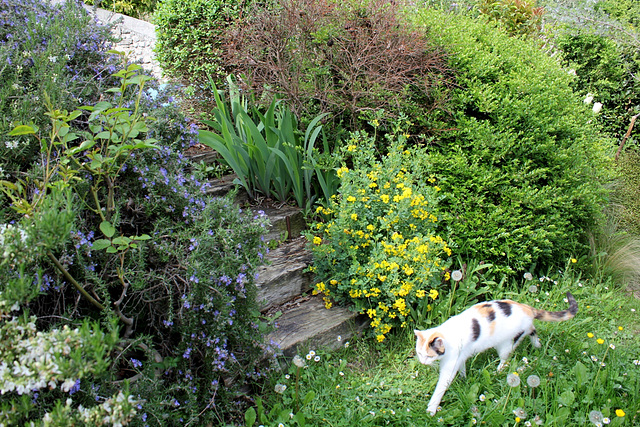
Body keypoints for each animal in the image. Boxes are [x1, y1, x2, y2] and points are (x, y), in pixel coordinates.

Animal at [416, 292, 580, 416]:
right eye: (419, 353)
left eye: (429, 356)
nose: (423, 362)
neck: (448, 335)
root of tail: (526, 308)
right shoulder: (460, 357)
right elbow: (462, 368)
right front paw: (463, 379)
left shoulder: (450, 363)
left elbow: (441, 387)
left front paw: (431, 409)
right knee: (533, 329)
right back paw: (537, 345)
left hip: (506, 344)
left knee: (506, 359)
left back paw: (498, 371)